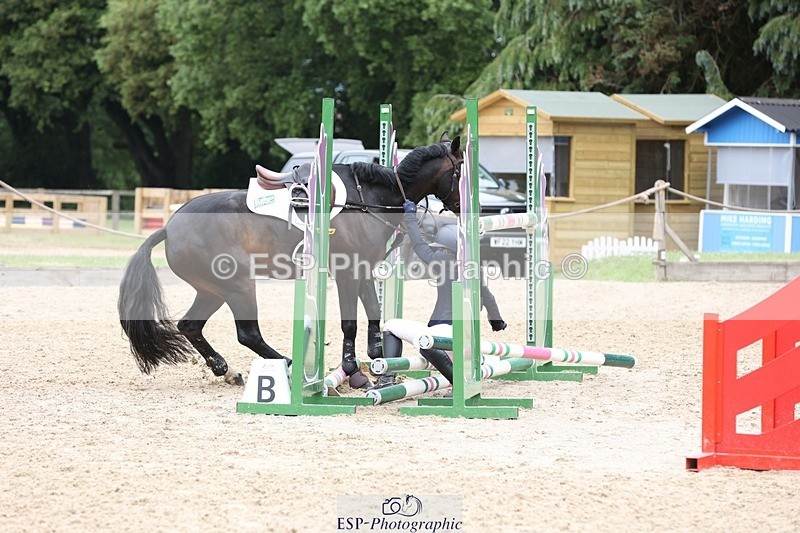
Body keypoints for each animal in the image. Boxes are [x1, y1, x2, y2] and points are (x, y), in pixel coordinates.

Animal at [118, 137, 463, 385]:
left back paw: (224, 369)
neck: (368, 200)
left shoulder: (364, 271)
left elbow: (375, 317)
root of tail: (170, 227)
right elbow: (350, 323)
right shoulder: (348, 272)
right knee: (248, 334)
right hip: (238, 286)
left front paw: (382, 368)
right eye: (460, 172)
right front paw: (355, 372)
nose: (464, 209)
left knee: (190, 325)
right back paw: (287, 365)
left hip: (212, 290)